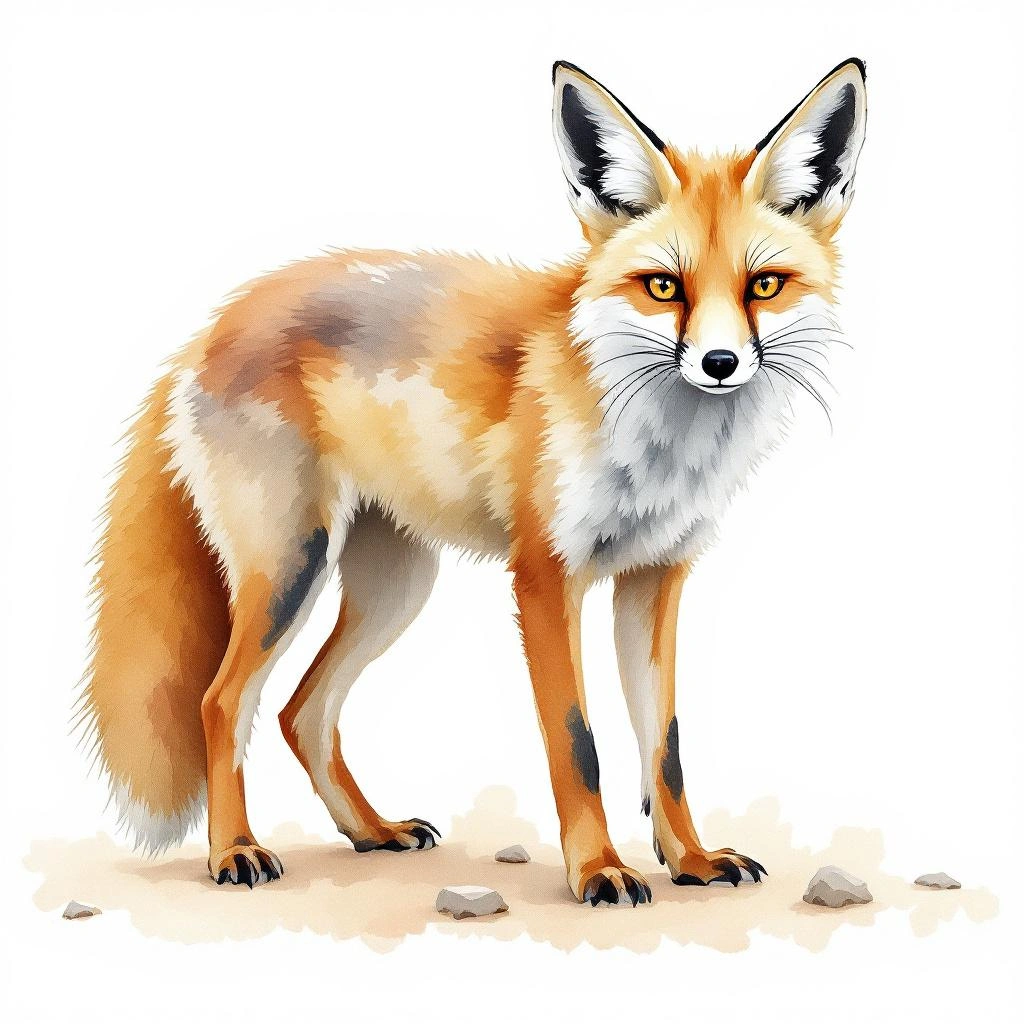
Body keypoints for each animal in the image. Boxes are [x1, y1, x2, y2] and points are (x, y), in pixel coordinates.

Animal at [78, 58, 866, 908]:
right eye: (664, 287)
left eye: (764, 286)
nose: (720, 363)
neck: (662, 448)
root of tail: (212, 327)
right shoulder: (545, 576)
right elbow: (578, 745)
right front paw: (599, 870)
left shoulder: (655, 576)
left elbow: (666, 747)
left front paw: (689, 859)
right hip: (291, 567)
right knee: (222, 702)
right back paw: (235, 850)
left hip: (396, 585)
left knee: (301, 712)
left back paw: (372, 831)